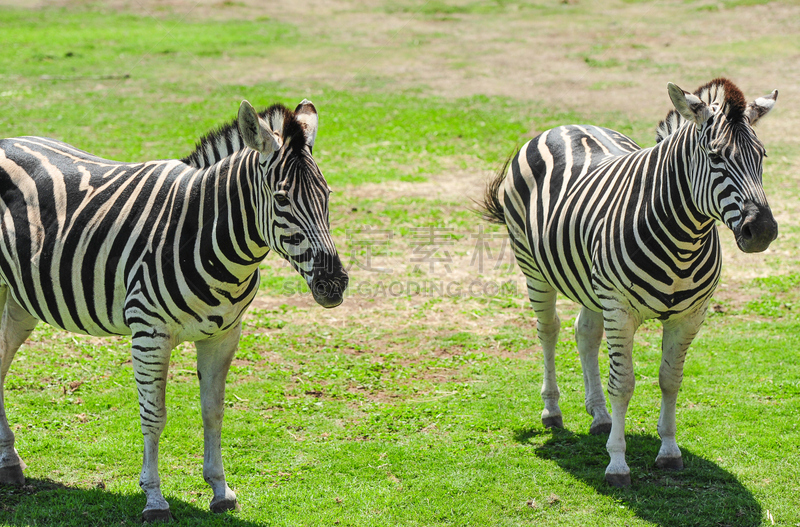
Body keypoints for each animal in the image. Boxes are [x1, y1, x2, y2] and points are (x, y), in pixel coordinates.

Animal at [0, 98, 346, 520]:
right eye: (281, 199)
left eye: (327, 194)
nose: (334, 284)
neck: (206, 235)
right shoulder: (149, 333)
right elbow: (154, 415)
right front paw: (154, 498)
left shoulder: (225, 334)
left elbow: (213, 411)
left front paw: (220, 490)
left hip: (21, 297)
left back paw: (9, 464)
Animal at [482, 77, 776, 486]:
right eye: (716, 157)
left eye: (761, 157)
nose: (762, 231)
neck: (684, 241)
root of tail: (564, 126)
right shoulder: (620, 311)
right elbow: (623, 384)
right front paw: (617, 464)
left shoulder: (690, 316)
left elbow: (670, 379)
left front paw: (669, 450)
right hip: (534, 269)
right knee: (549, 331)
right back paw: (552, 411)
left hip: (592, 288)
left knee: (585, 334)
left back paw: (600, 416)